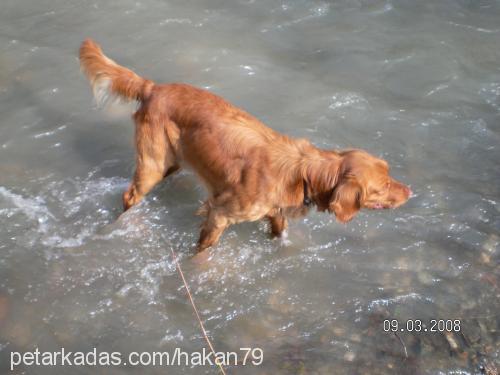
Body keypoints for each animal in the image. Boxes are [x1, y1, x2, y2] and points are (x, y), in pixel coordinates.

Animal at [80, 39, 412, 253]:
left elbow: (279, 232)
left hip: (171, 162)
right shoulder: (219, 213)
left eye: (389, 173)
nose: (410, 192)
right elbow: (204, 249)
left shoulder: (275, 213)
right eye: (383, 186)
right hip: (152, 165)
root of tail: (153, 87)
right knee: (130, 195)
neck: (301, 173)